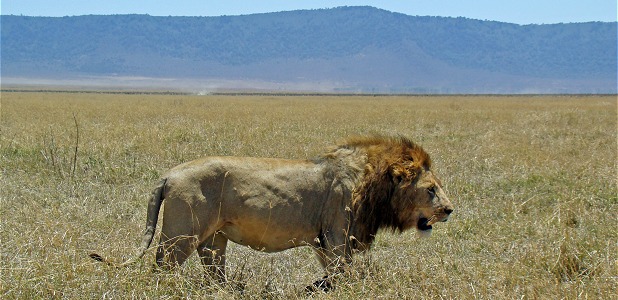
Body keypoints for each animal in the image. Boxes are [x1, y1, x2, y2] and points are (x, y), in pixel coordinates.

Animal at [88, 135, 452, 290]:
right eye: (431, 189)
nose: (449, 210)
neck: (373, 182)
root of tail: (169, 174)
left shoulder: (322, 240)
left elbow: (332, 273)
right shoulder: (336, 234)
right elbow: (343, 272)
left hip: (213, 239)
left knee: (213, 273)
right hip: (181, 234)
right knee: (160, 267)